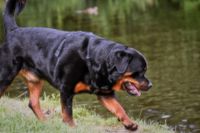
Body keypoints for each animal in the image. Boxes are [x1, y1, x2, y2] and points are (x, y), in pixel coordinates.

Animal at [0, 0, 152, 131]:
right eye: (140, 71)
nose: (150, 85)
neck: (94, 61)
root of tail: (14, 30)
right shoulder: (66, 89)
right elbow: (67, 112)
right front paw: (71, 127)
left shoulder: (105, 93)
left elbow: (119, 108)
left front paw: (129, 123)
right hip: (5, 75)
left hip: (35, 80)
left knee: (33, 102)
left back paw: (45, 122)